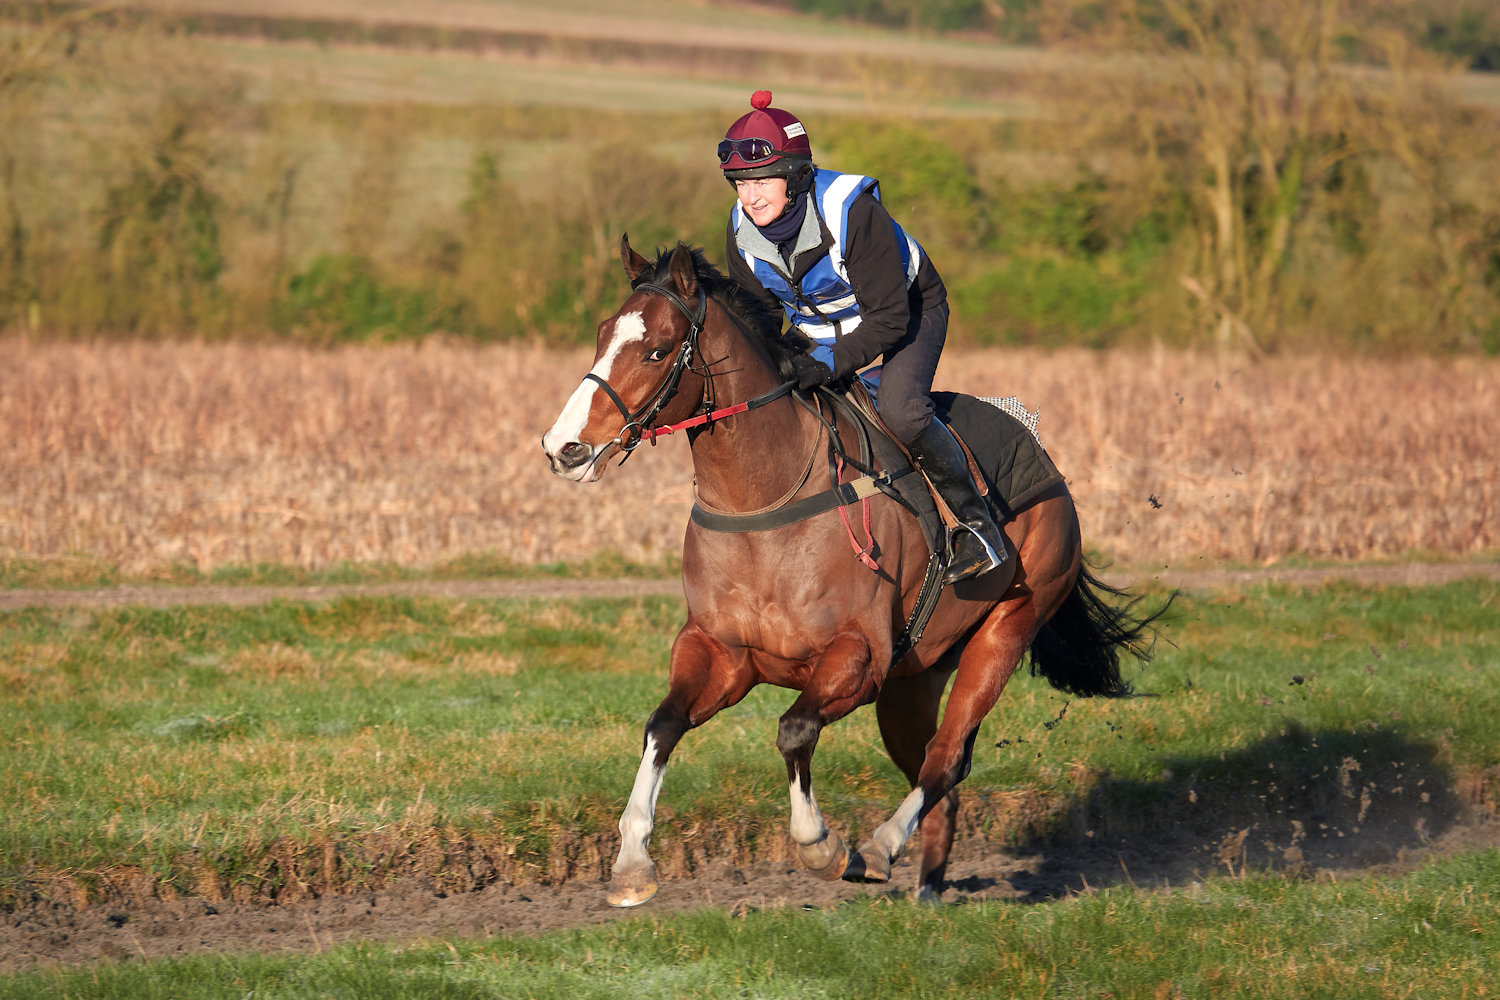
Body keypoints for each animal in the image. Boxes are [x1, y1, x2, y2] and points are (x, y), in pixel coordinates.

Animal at [542, 237, 1165, 906]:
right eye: (601, 335)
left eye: (657, 349)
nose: (563, 447)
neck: (763, 501)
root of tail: (1046, 460)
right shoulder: (721, 652)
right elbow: (662, 725)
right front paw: (632, 863)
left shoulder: (858, 657)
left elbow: (793, 728)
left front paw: (822, 845)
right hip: (914, 679)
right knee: (934, 772)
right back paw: (927, 890)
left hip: (1006, 627)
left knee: (947, 757)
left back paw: (880, 848)